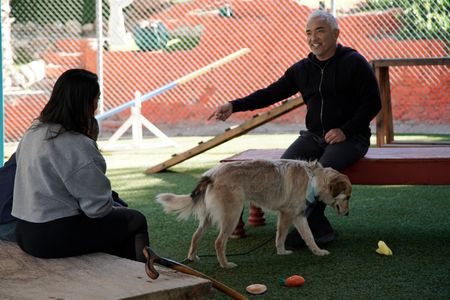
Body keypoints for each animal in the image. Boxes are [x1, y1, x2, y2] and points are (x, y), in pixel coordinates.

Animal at [156, 158, 354, 268]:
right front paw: (282, 252)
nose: (347, 214)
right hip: (232, 216)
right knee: (219, 242)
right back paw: (225, 265)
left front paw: (317, 252)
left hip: (208, 218)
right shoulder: (288, 215)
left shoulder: (298, 216)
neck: (313, 177)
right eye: (348, 197)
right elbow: (282, 236)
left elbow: (308, 236)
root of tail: (211, 174)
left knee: (196, 236)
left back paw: (192, 257)